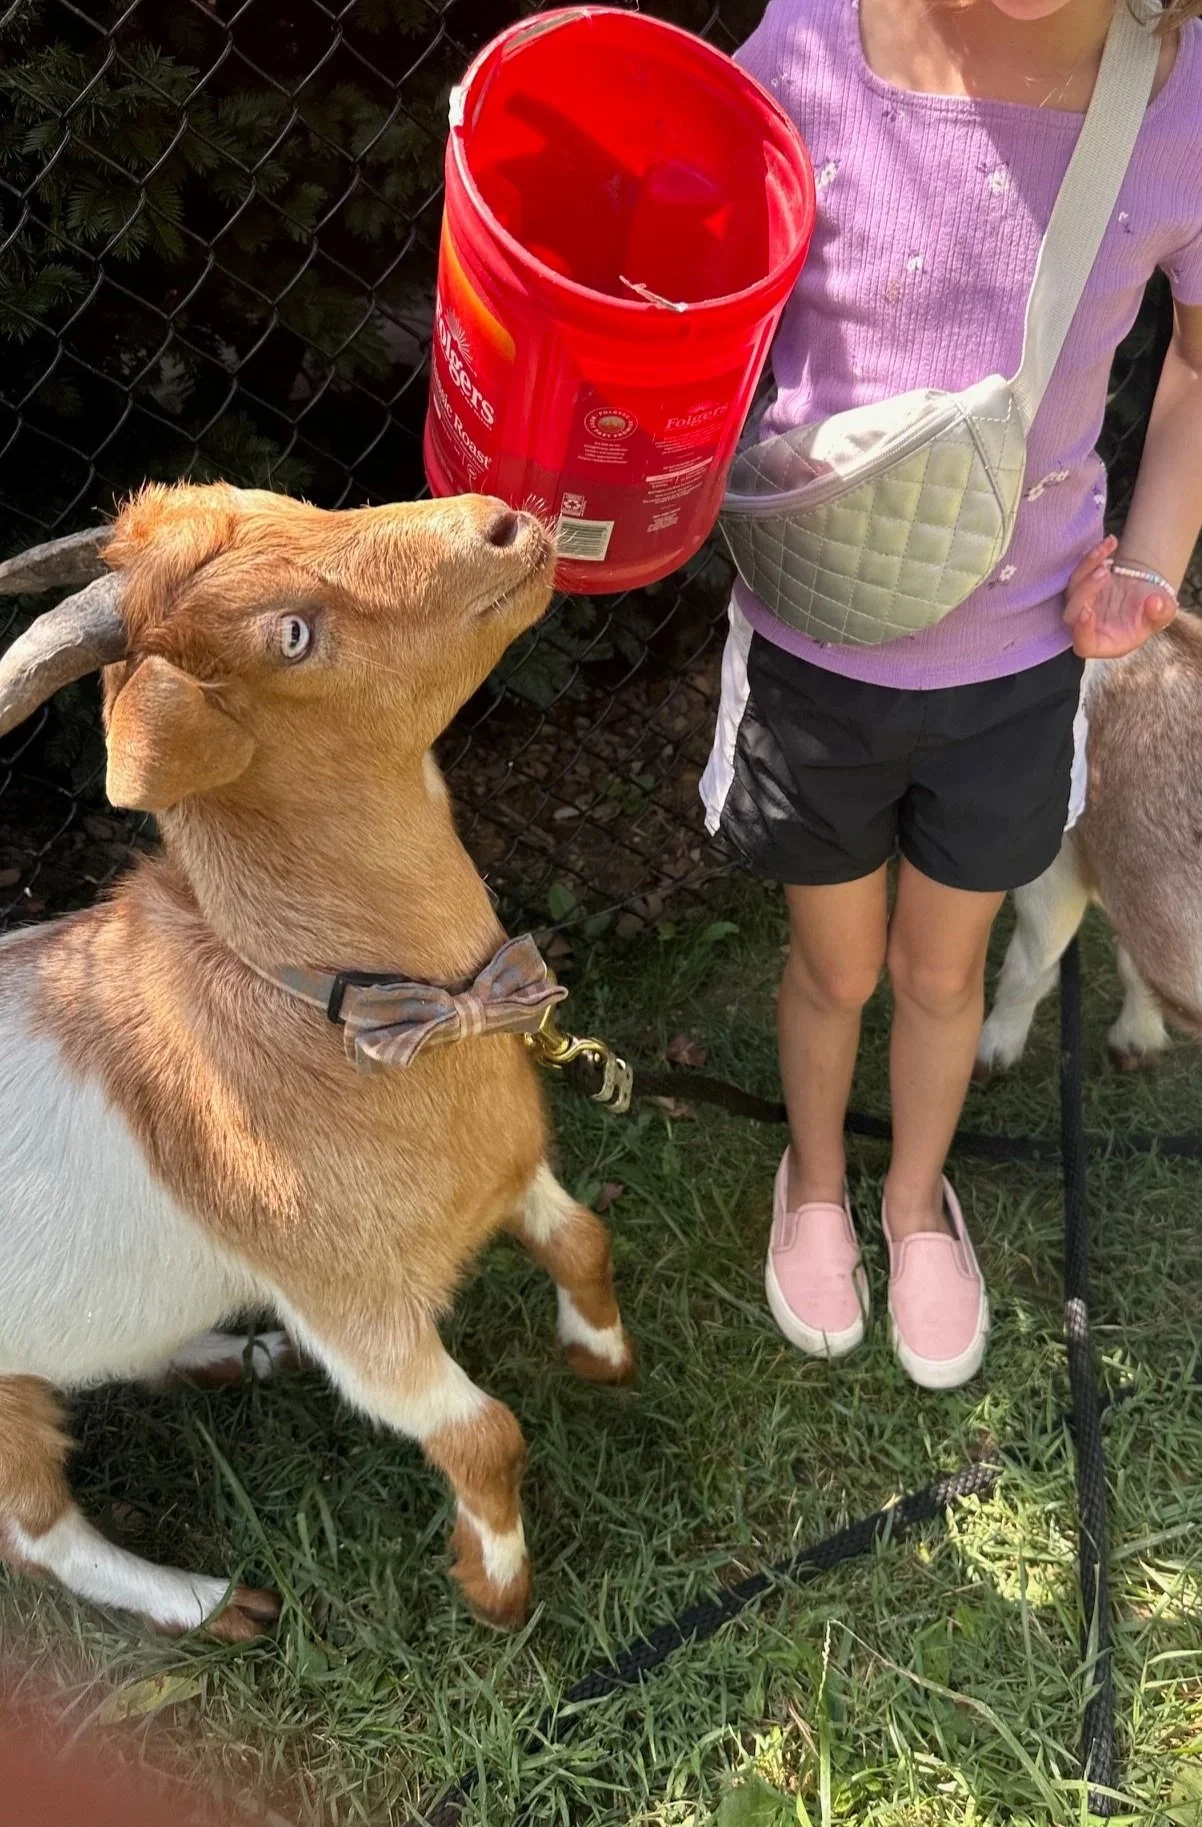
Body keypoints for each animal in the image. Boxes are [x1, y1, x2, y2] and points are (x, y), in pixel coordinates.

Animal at [0, 483, 634, 1641]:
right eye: (290, 635)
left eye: (288, 501)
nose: (501, 523)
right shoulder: (356, 1309)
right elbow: (482, 1434)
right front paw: (497, 1589)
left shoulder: (502, 1175)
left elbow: (582, 1240)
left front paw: (599, 1357)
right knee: (36, 1533)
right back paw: (212, 1603)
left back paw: (237, 1354)